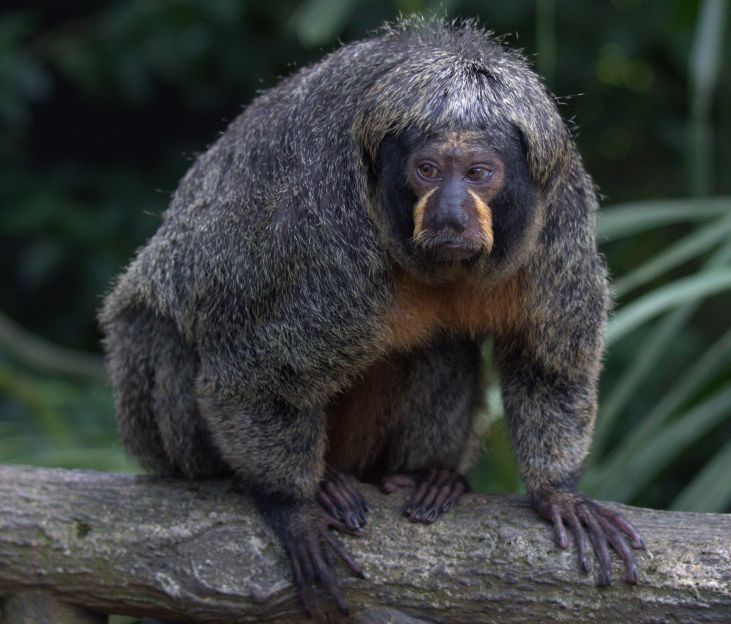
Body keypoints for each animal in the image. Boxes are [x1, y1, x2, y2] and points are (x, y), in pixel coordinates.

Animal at [100, 17, 644, 617]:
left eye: (478, 173)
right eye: (427, 170)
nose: (449, 212)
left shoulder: (559, 223)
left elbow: (549, 365)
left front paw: (558, 492)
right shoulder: (330, 242)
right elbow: (248, 380)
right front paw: (292, 507)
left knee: (442, 349)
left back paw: (427, 478)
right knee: (160, 330)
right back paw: (306, 481)